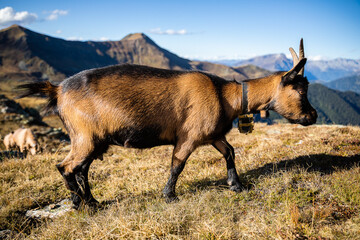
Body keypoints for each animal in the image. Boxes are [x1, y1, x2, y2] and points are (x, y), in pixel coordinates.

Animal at [17, 39, 316, 208]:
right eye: (300, 90)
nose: (312, 116)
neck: (224, 95)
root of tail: (57, 90)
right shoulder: (189, 136)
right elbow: (177, 164)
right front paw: (169, 195)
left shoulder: (213, 134)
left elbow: (229, 152)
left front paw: (236, 185)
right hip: (84, 137)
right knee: (66, 167)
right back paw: (81, 204)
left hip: (95, 141)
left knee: (82, 170)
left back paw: (94, 202)